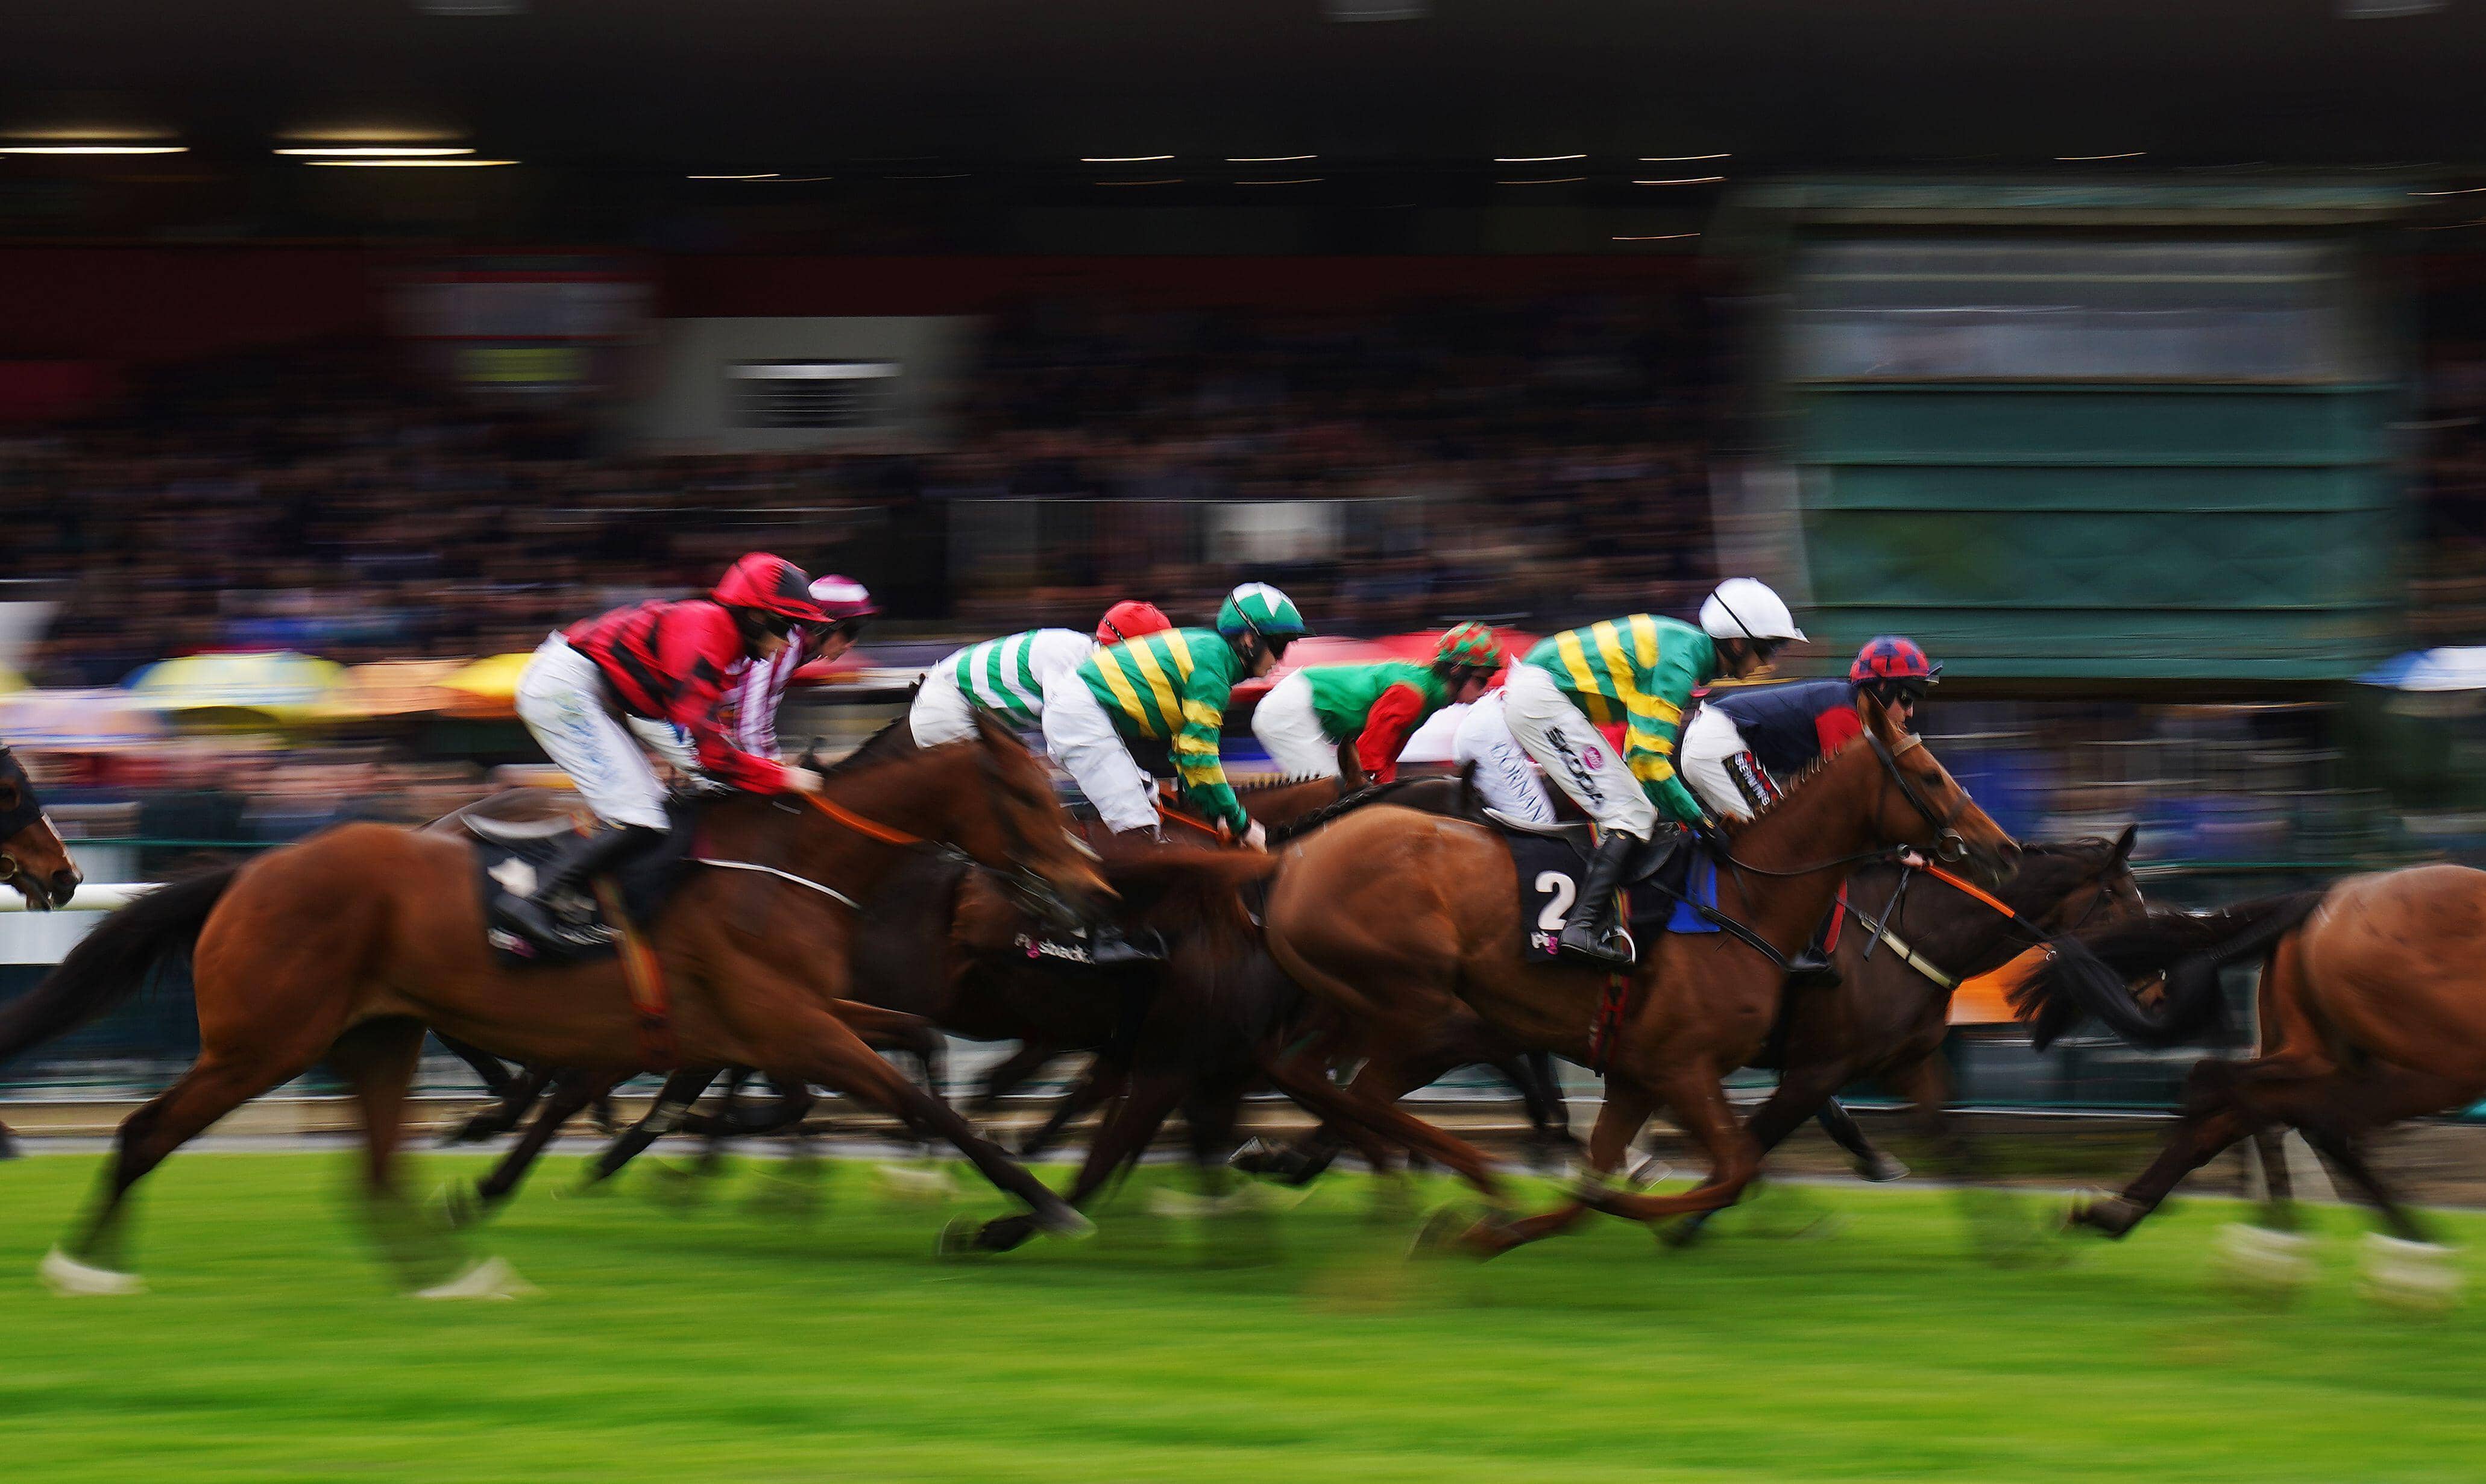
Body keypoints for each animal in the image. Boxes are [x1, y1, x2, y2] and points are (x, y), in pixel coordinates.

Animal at [0, 711, 1109, 1292]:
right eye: (1027, 796)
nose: (1092, 888)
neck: (790, 865)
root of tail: (249, 870)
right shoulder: (787, 1025)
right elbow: (916, 1097)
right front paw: (1037, 1204)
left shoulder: (797, 1019)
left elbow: (916, 1045)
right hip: (265, 1040)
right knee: (147, 1129)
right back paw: (89, 1266)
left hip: (377, 1033)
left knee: (377, 1167)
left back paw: (450, 1263)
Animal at [1262, 696, 2018, 1248]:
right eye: (1930, 776)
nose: (2003, 850)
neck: (1747, 899)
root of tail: (1295, 861)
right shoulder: (1684, 1064)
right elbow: (1732, 1166)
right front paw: (1664, 1217)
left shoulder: (1637, 1071)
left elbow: (1602, 1177)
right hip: (1424, 1013)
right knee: (1368, 1091)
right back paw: (1466, 1179)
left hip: (1358, 1005)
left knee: (1310, 1074)